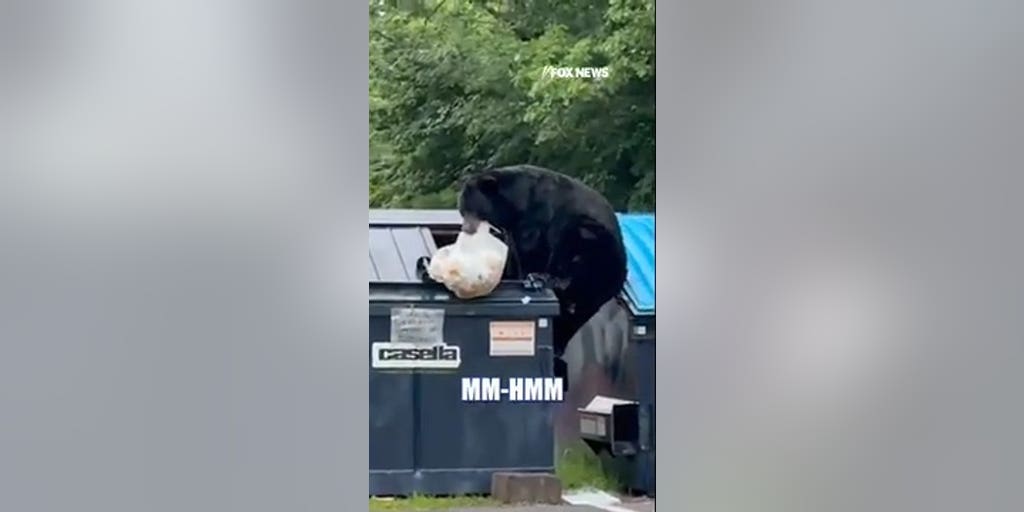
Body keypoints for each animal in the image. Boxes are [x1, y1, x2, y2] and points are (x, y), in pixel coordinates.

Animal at [457, 164, 628, 389]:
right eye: (462, 211)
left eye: (473, 209)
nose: (466, 228)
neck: (515, 203)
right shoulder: (513, 229)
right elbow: (515, 253)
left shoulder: (538, 214)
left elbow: (533, 246)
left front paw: (531, 273)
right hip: (594, 290)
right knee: (574, 316)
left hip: (596, 244)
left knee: (572, 242)